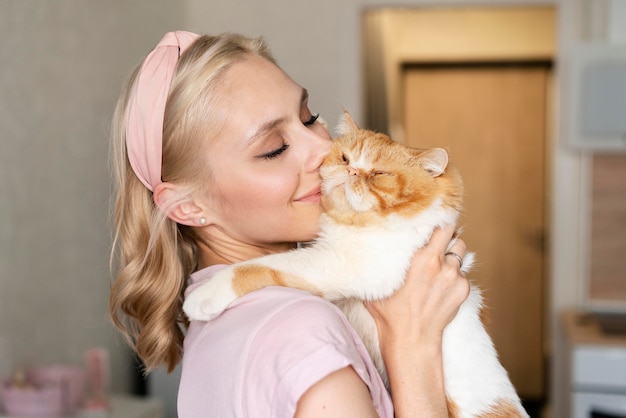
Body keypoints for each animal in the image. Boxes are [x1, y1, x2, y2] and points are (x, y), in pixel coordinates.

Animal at [182, 112, 528, 418]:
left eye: (378, 174)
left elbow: (264, 265)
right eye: (346, 159)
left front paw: (203, 296)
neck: (354, 223)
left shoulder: (346, 265)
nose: (351, 173)